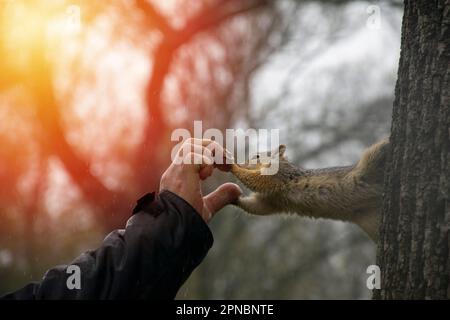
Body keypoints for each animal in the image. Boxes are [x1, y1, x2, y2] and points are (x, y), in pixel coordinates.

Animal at [229, 139, 390, 241]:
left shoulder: (276, 177)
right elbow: (257, 207)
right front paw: (234, 198)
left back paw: (387, 142)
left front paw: (232, 166)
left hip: (370, 161)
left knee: (379, 152)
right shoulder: (271, 200)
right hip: (370, 221)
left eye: (257, 156)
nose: (242, 162)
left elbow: (258, 180)